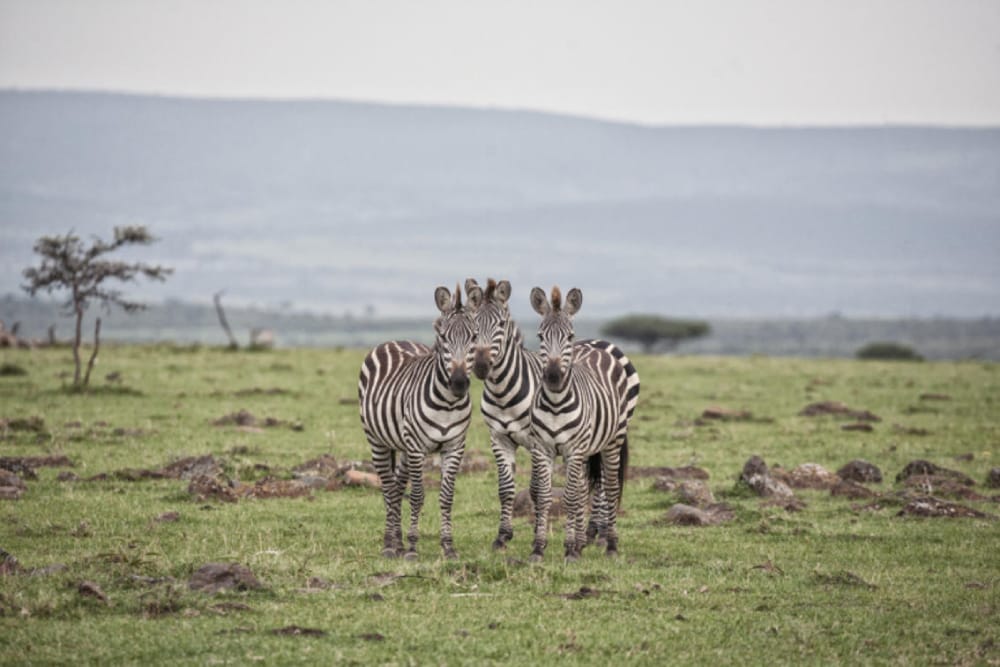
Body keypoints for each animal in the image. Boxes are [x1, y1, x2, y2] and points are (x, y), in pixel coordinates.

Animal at [358, 284, 474, 560]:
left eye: (475, 337)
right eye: (443, 337)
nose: (459, 383)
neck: (447, 404)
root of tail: (395, 341)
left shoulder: (455, 446)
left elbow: (447, 497)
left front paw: (448, 547)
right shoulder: (417, 447)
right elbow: (418, 496)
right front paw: (412, 548)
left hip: (402, 447)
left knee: (398, 487)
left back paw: (397, 542)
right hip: (377, 440)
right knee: (389, 490)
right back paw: (390, 545)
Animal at [464, 278, 620, 552]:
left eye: (501, 324)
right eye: (473, 327)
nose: (482, 367)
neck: (503, 392)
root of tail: (599, 341)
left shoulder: (533, 438)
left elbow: (537, 490)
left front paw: (539, 533)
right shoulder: (499, 437)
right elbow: (506, 489)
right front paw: (503, 536)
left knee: (602, 482)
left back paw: (600, 534)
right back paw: (590, 532)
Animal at [528, 288, 636, 564]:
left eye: (569, 336)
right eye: (540, 336)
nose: (553, 377)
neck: (555, 403)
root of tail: (596, 347)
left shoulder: (573, 449)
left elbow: (569, 498)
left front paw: (569, 550)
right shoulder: (542, 449)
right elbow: (545, 497)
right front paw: (538, 549)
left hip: (612, 441)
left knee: (610, 488)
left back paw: (611, 545)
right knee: (583, 490)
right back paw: (581, 542)